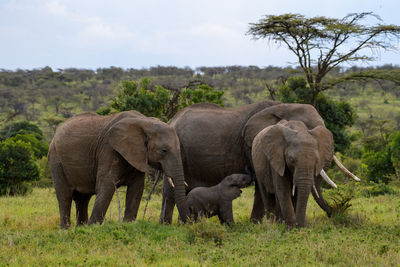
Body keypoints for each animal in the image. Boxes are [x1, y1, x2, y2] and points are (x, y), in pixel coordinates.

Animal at [48, 110, 189, 229]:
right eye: (164, 150)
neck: (145, 122)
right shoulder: (108, 149)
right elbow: (106, 186)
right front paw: (93, 227)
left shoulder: (136, 154)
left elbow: (137, 188)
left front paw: (128, 225)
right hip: (56, 159)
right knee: (64, 196)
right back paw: (66, 229)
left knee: (83, 198)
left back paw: (80, 228)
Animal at [159, 101, 356, 225]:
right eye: (309, 127)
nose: (337, 212)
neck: (283, 105)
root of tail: (172, 119)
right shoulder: (252, 143)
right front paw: (256, 223)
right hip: (176, 151)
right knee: (171, 190)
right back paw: (167, 225)